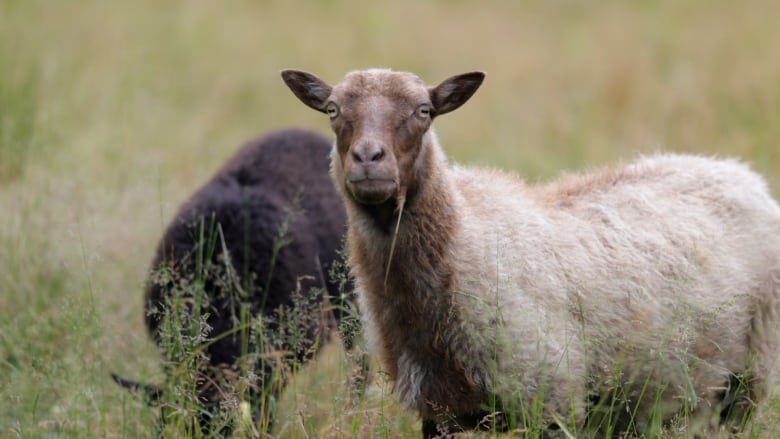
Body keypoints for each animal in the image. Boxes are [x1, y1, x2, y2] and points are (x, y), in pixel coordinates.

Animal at [282, 67, 780, 438]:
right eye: (333, 110)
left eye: (424, 111)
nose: (368, 159)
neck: (463, 241)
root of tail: (737, 172)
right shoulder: (438, 412)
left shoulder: (552, 401)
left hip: (748, 376)